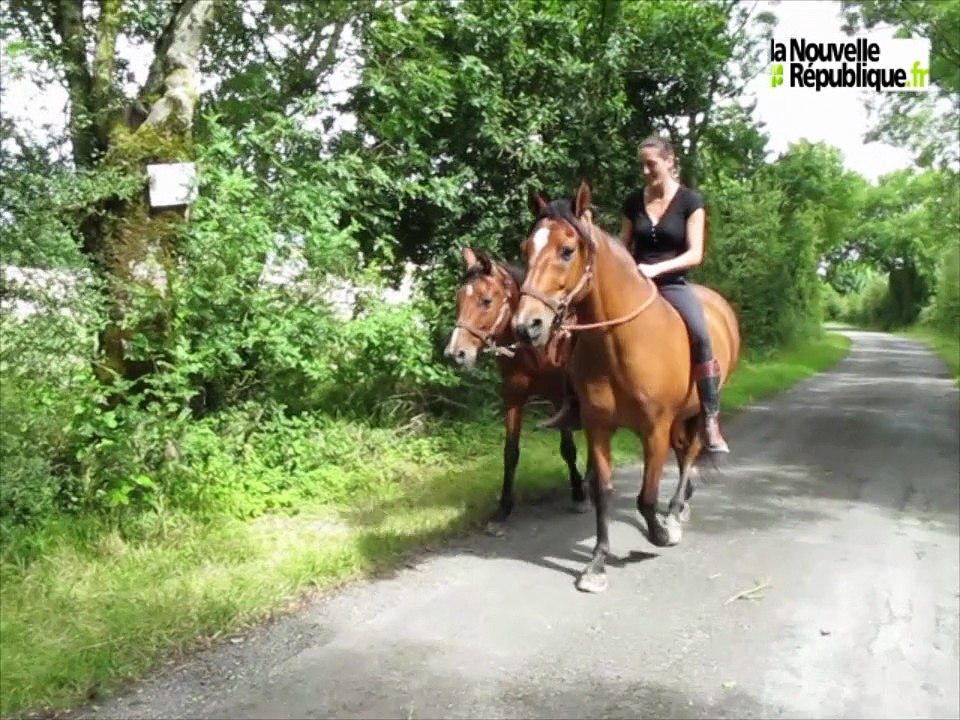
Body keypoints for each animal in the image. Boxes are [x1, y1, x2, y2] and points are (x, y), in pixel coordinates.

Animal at [443, 246, 590, 535]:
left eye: (486, 300)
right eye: (458, 300)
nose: (456, 354)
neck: (535, 350)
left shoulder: (559, 401)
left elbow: (568, 448)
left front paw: (578, 493)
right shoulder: (513, 399)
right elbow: (510, 453)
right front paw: (503, 509)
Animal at [511, 181, 741, 593]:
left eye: (567, 250)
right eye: (526, 248)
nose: (527, 326)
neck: (621, 343)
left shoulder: (655, 430)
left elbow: (646, 496)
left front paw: (660, 534)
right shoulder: (598, 427)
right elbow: (603, 492)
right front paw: (596, 564)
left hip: (697, 411)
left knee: (692, 452)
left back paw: (676, 512)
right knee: (684, 452)